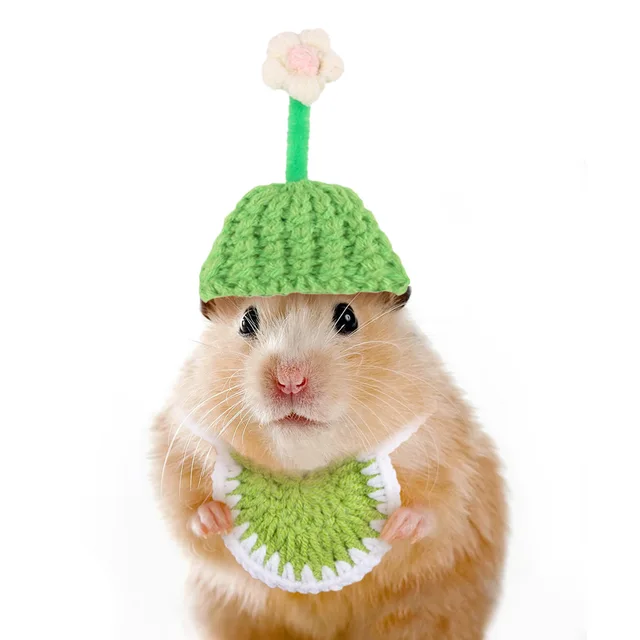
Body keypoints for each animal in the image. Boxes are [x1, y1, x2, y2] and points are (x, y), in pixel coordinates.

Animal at [151, 291, 507, 639]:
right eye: (247, 321)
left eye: (348, 318)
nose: (290, 380)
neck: (306, 465)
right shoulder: (178, 448)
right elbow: (187, 515)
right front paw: (217, 517)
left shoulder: (447, 452)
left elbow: (437, 514)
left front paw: (397, 526)